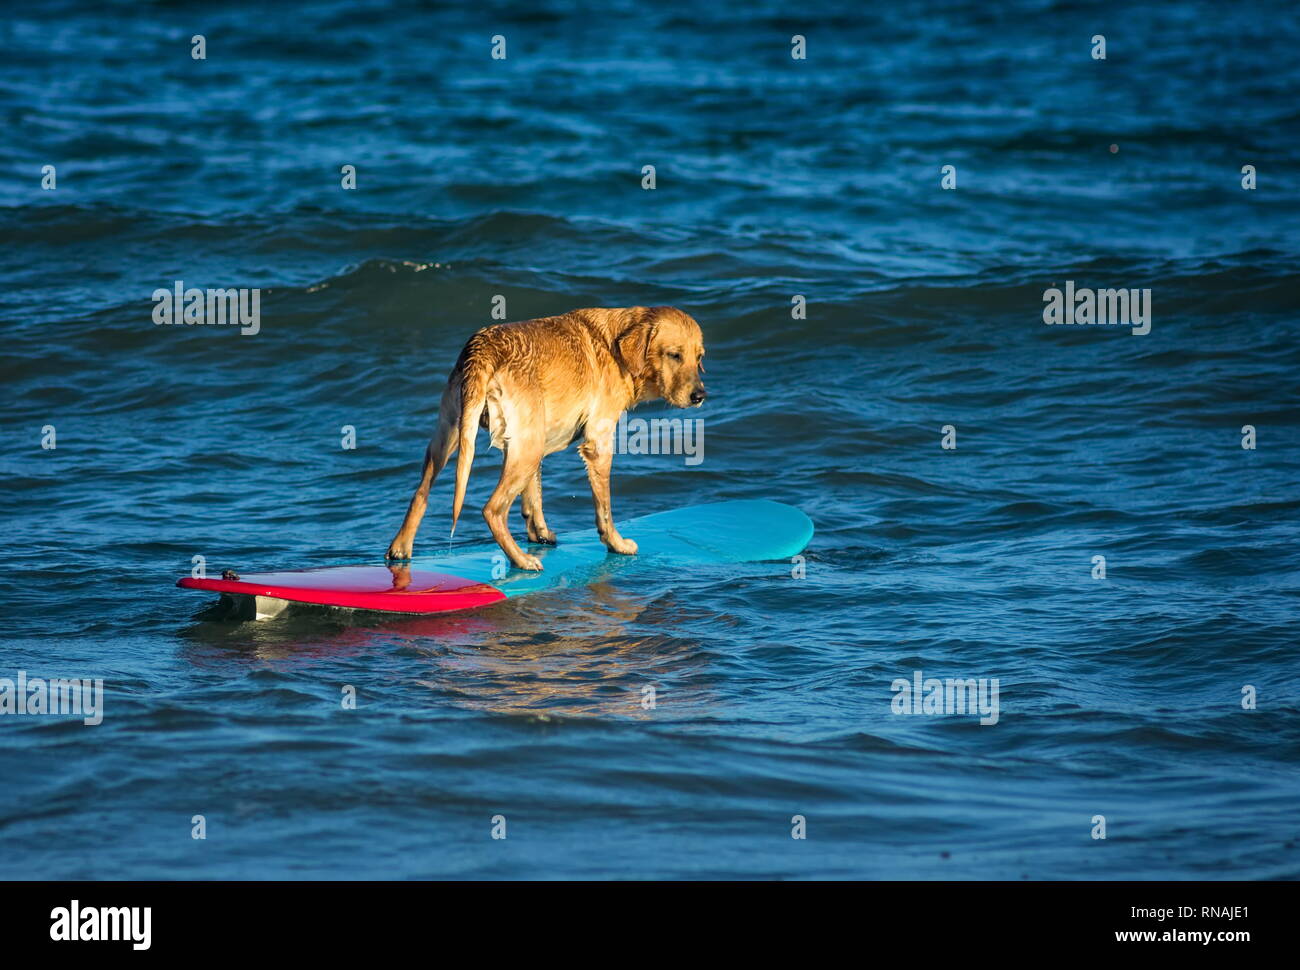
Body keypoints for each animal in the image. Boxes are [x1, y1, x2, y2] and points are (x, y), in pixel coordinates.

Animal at [384, 305, 707, 569]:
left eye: (699, 357)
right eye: (674, 355)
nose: (700, 396)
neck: (616, 347)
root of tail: (483, 349)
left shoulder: (521, 442)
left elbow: (533, 497)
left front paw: (539, 533)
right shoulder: (598, 445)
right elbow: (604, 508)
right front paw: (616, 543)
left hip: (455, 436)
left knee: (421, 493)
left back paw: (400, 549)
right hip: (523, 448)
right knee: (492, 510)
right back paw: (521, 560)